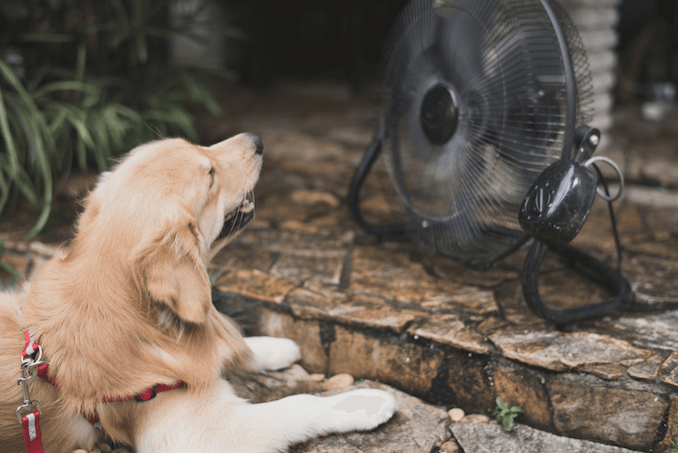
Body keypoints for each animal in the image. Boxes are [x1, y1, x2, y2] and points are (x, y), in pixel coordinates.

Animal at [0, 132, 398, 450]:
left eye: (196, 145)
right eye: (210, 177)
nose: (257, 139)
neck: (140, 317)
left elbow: (233, 342)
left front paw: (275, 347)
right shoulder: (200, 432)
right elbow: (297, 404)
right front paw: (362, 402)